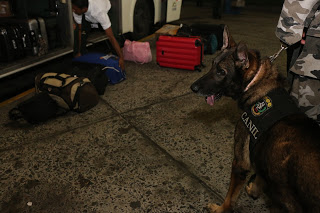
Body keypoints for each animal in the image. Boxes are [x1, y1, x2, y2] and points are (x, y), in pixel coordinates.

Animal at [190, 27, 320, 213]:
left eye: (221, 72)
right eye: (212, 64)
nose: (192, 88)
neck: (254, 82)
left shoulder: (240, 163)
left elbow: (230, 197)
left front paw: (221, 209)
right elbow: (260, 174)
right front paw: (255, 189)